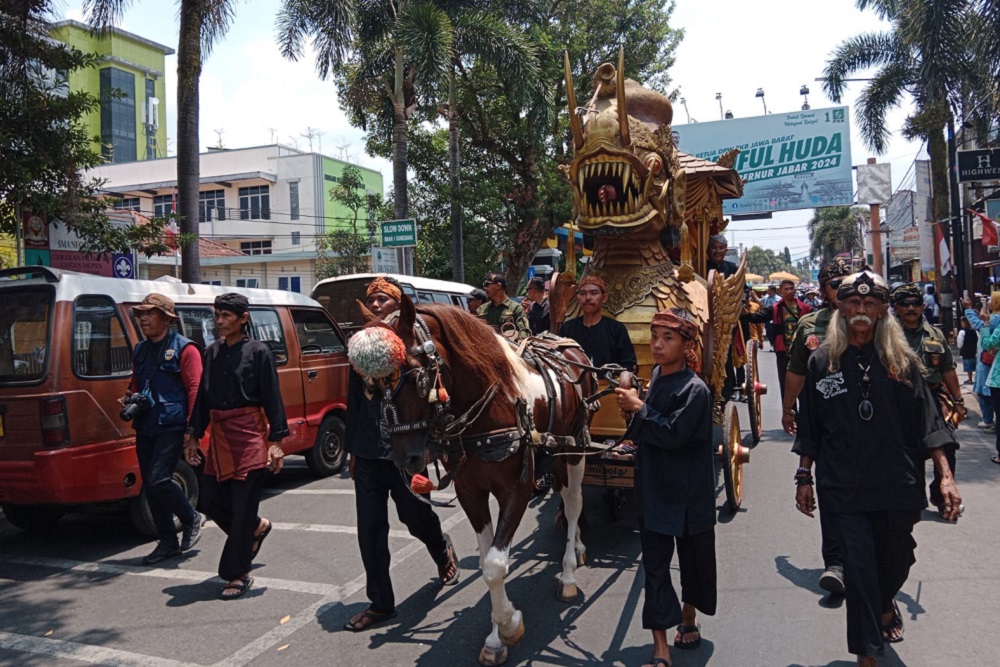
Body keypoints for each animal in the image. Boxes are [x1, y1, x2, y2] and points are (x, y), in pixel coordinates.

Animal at [348, 298, 596, 667]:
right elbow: (485, 561)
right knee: (567, 504)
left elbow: (495, 565)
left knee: (574, 502)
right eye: (372, 387)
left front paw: (509, 626)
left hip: (575, 448)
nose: (404, 458)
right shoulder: (470, 492)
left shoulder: (517, 489)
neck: (492, 408)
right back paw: (577, 546)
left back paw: (567, 574)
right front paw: (497, 636)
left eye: (416, 377)